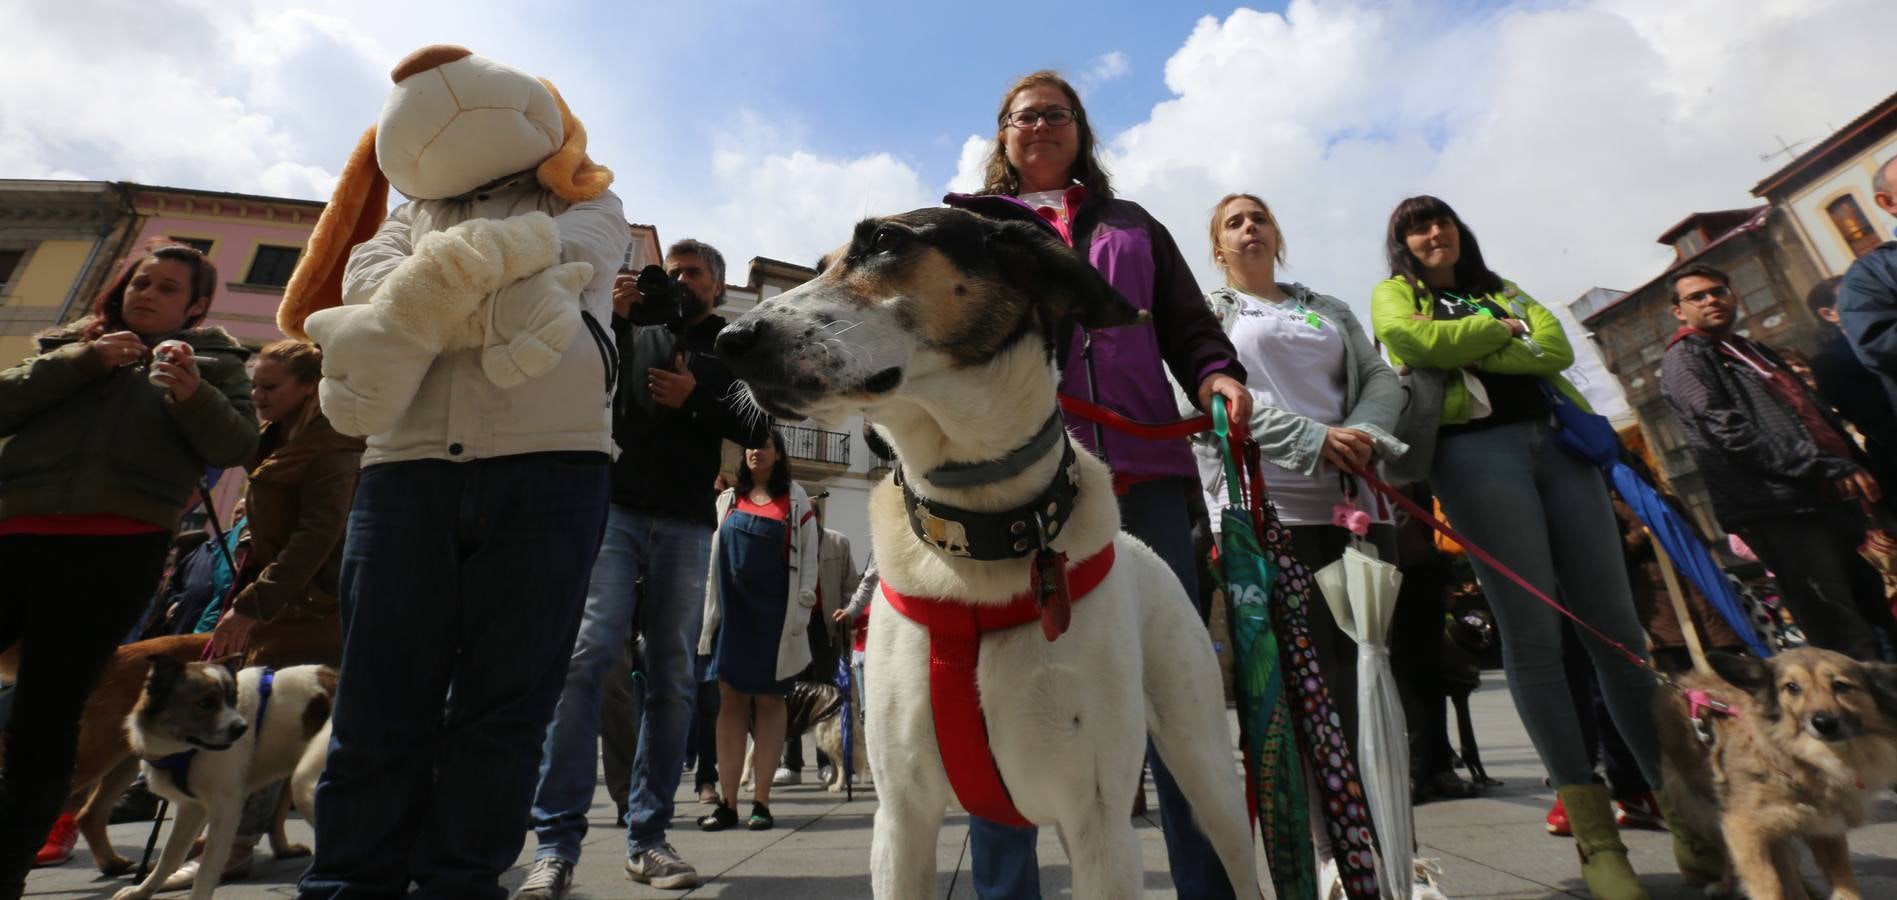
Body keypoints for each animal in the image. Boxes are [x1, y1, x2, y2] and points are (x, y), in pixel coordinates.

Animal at [113, 653, 333, 900]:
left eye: (231, 698)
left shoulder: (226, 808)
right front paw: (141, 890)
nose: (242, 728)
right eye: (205, 703)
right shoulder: (191, 808)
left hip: (307, 780)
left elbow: (207, 869)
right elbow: (169, 856)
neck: (185, 751)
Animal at [713, 206, 1259, 896]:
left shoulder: (1101, 823)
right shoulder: (902, 821)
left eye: (884, 240)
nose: (728, 339)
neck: (977, 532)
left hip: (1205, 764)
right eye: (819, 266)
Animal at [1654, 645, 1897, 900]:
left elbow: (1842, 877)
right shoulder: (1744, 829)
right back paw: (1725, 884)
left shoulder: (1824, 825)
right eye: (1792, 687)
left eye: (1841, 685)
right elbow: (1768, 885)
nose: (1823, 722)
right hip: (1699, 809)